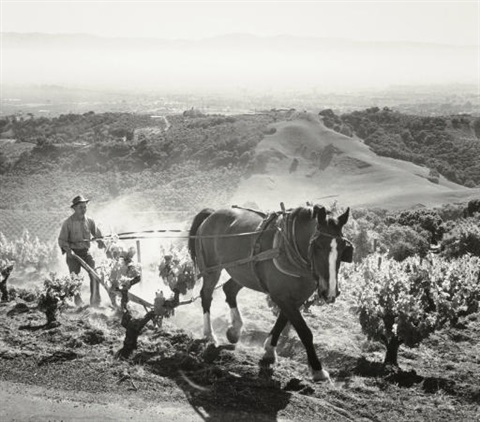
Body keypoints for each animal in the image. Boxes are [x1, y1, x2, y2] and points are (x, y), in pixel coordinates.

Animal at [188, 204, 352, 382]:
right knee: (206, 295)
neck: (289, 247)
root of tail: (211, 214)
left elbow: (282, 321)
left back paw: (235, 330)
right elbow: (304, 331)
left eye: (343, 248)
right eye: (317, 245)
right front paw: (318, 370)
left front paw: (269, 350)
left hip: (243, 272)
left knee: (229, 290)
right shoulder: (281, 296)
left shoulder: (295, 298)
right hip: (212, 270)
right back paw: (209, 335)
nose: (330, 291)